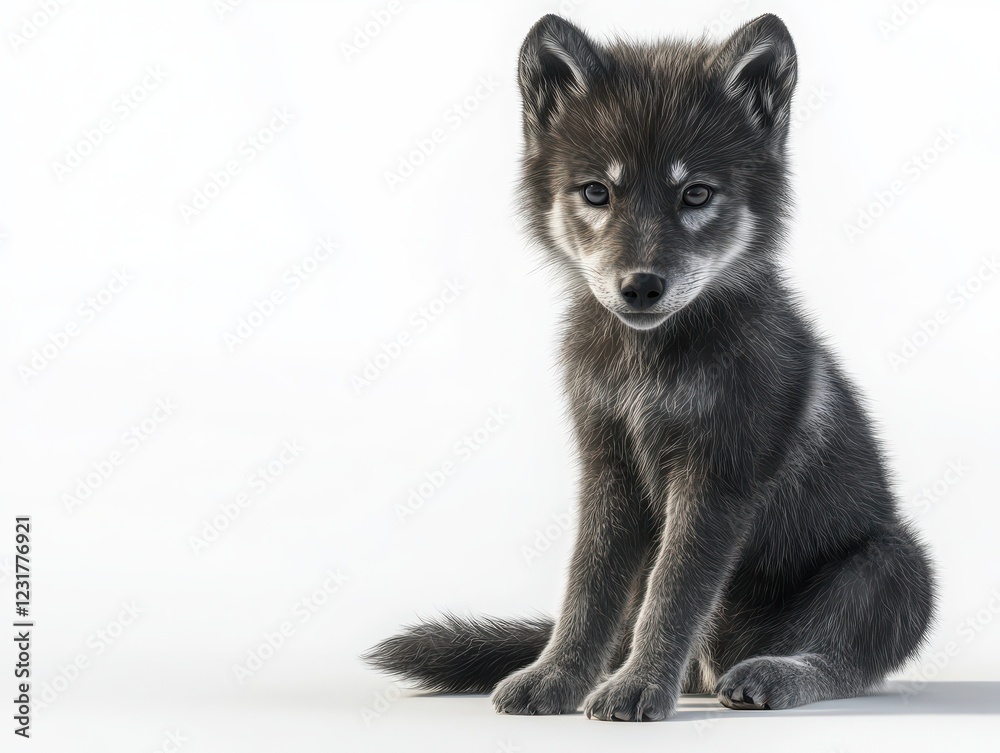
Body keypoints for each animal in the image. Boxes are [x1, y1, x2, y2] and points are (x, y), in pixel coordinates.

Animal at [365, 13, 935, 721]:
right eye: (597, 192)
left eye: (695, 193)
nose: (640, 287)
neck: (647, 366)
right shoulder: (608, 467)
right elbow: (589, 588)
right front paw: (557, 677)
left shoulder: (717, 475)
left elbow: (674, 588)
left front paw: (637, 688)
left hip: (894, 564)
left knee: (837, 655)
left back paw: (766, 675)